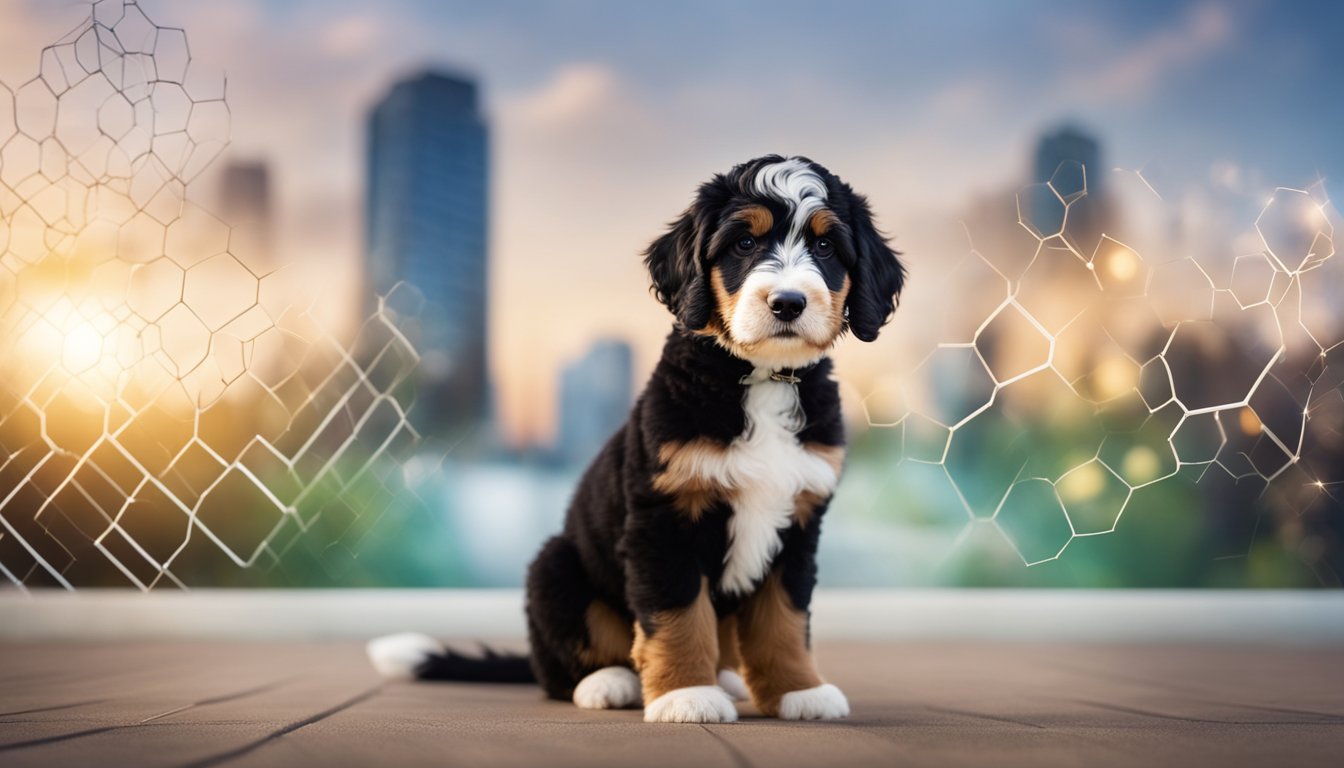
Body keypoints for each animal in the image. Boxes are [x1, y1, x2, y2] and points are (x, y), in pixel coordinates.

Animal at [373, 154, 908, 720]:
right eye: (744, 243)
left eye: (826, 248)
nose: (787, 302)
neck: (759, 378)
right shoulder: (664, 517)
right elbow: (678, 613)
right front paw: (685, 694)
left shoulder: (801, 521)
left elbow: (783, 618)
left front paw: (798, 690)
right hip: (555, 565)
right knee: (562, 666)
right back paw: (609, 683)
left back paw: (727, 679)